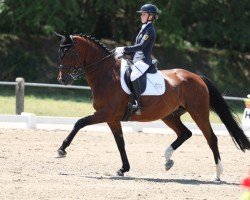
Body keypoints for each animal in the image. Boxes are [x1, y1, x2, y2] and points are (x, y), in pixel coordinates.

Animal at [54, 32, 250, 182]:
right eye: (60, 53)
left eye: (71, 53)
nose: (63, 79)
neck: (107, 75)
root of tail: (197, 77)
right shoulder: (112, 118)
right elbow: (120, 143)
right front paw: (123, 169)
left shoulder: (105, 113)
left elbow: (79, 123)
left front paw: (61, 150)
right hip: (169, 115)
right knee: (185, 133)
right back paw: (168, 159)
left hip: (198, 112)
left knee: (211, 138)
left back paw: (217, 174)